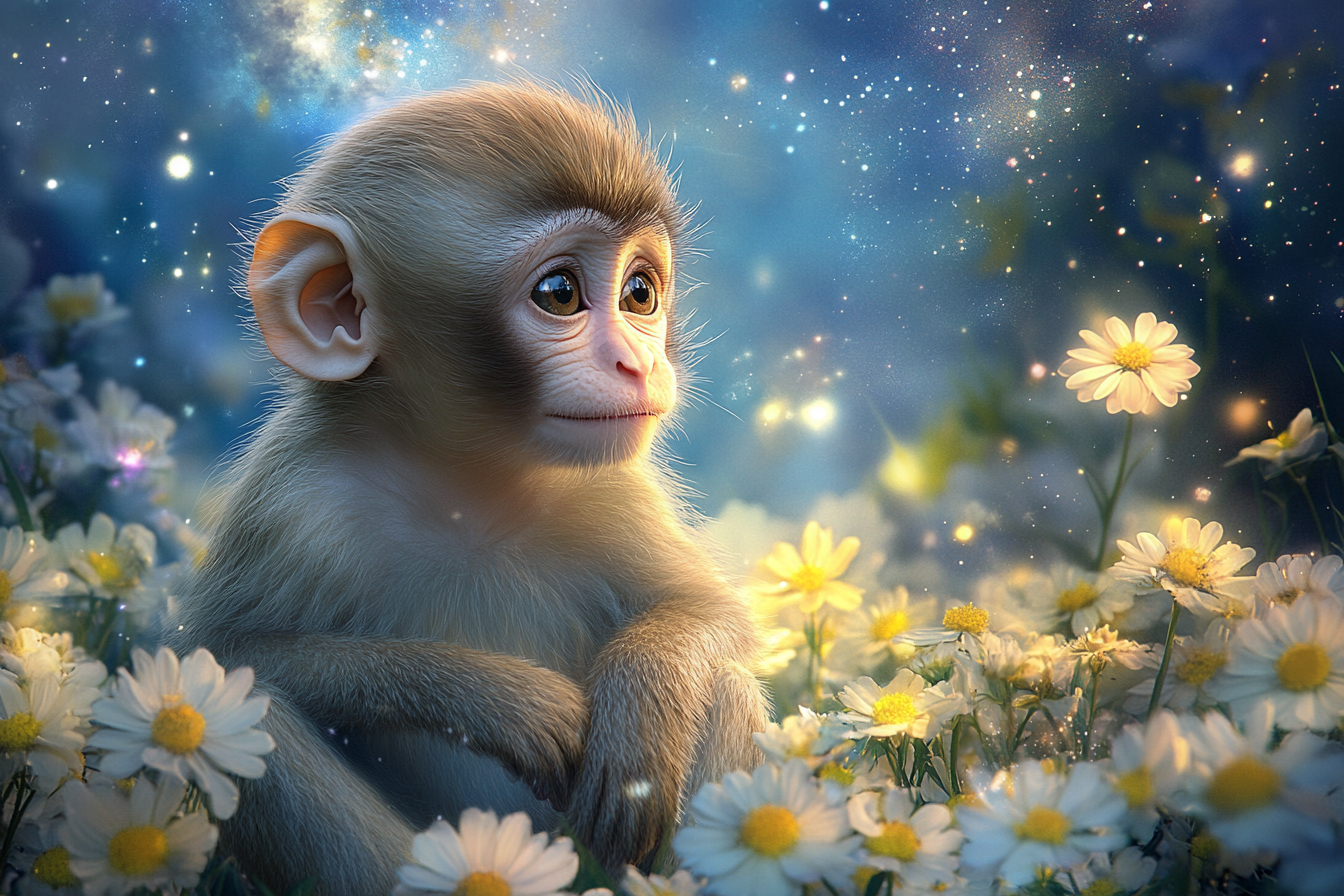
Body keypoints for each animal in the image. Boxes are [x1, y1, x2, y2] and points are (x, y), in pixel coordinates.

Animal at [164, 80, 767, 894]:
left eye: (640, 292)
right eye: (559, 292)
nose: (640, 364)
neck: (467, 486)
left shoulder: (614, 493)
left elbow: (709, 614)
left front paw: (638, 715)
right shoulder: (297, 497)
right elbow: (226, 653)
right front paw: (497, 698)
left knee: (726, 682)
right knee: (249, 710)